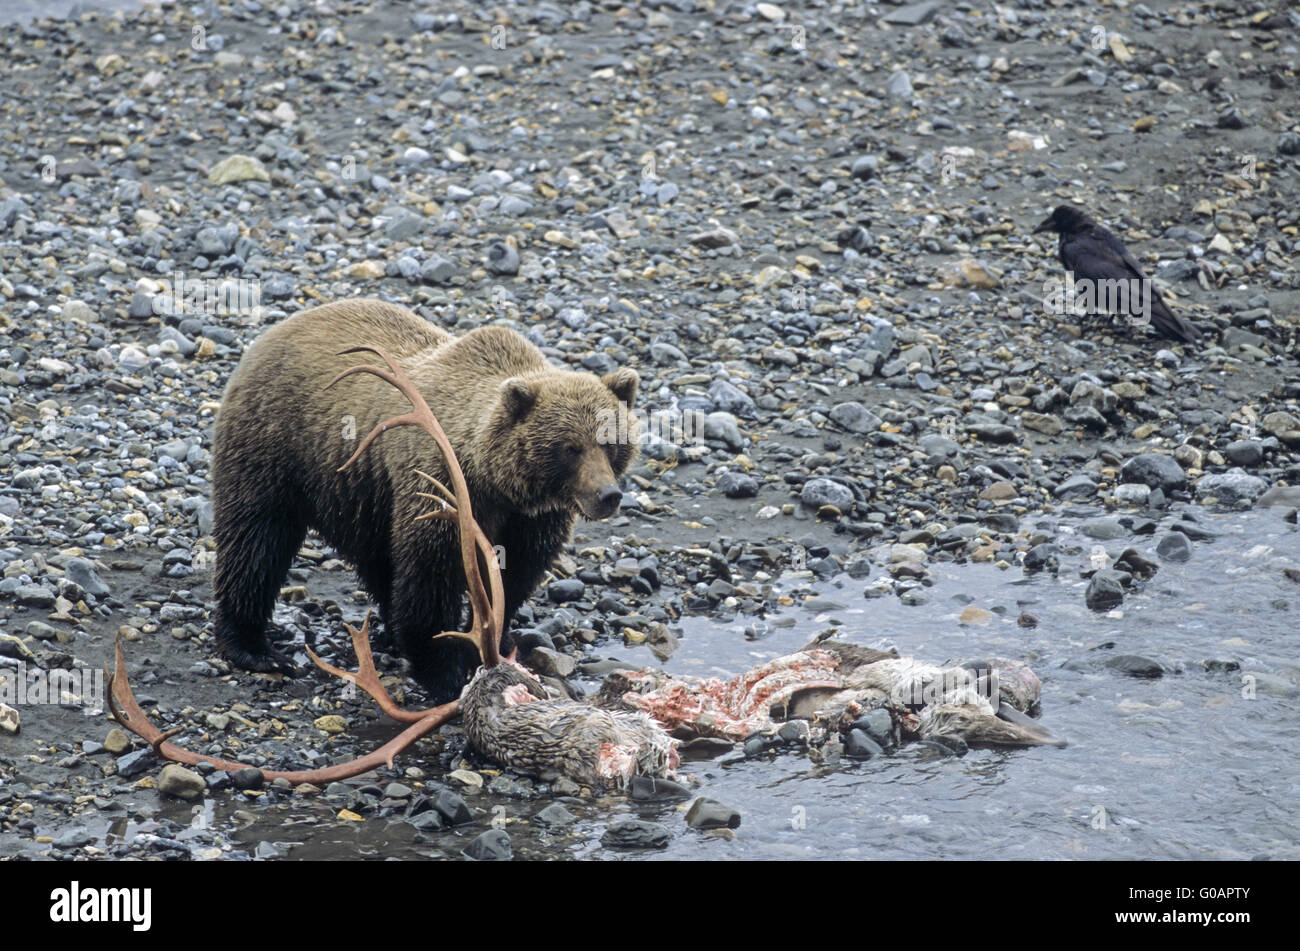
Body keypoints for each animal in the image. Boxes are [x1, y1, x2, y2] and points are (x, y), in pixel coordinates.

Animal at [209, 301, 639, 701]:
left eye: (610, 441)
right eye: (570, 448)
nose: (608, 495)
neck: (495, 481)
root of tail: (274, 332)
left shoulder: (530, 519)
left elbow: (515, 573)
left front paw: (495, 641)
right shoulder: (440, 488)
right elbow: (431, 576)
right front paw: (444, 670)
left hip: (361, 493)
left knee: (375, 557)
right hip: (276, 444)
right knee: (257, 539)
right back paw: (255, 648)